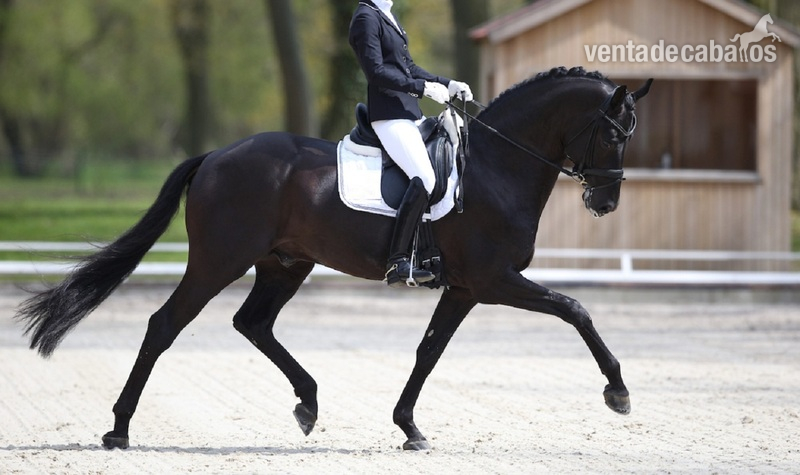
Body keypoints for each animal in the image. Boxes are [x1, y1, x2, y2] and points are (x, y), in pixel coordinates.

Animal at [15, 66, 653, 451]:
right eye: (614, 134)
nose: (605, 202)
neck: (495, 167)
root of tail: (217, 155)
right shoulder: (495, 279)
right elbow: (574, 309)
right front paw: (618, 391)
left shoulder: (465, 288)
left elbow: (428, 352)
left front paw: (409, 427)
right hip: (220, 260)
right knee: (164, 324)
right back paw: (119, 430)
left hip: (284, 264)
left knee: (253, 323)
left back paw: (308, 402)